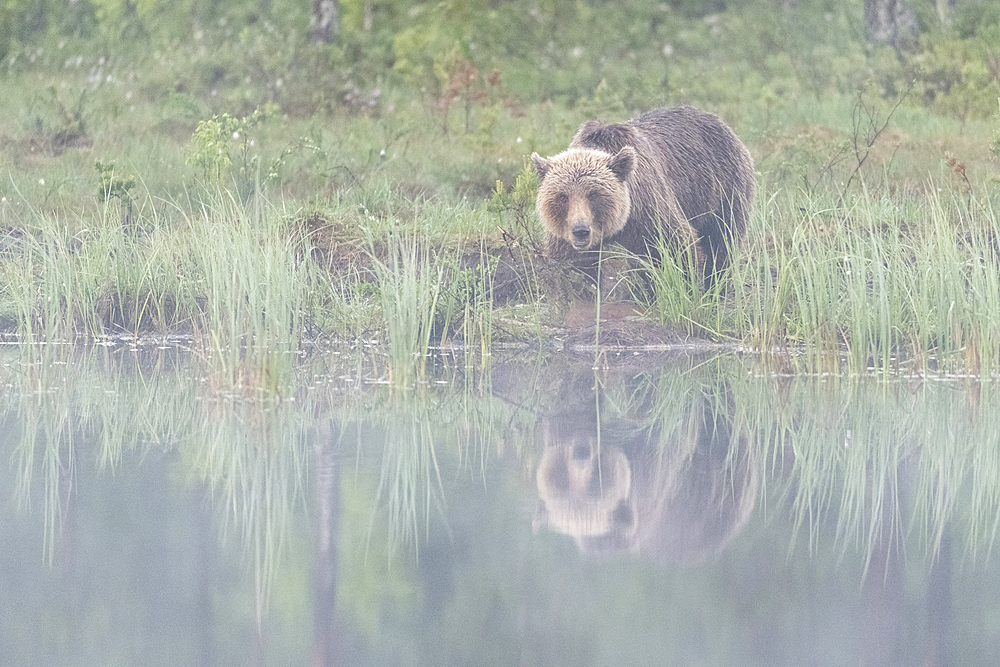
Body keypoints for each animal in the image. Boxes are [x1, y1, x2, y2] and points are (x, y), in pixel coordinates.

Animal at [532, 105, 752, 284]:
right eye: (562, 196)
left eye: (594, 194)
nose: (581, 230)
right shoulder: (564, 235)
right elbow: (574, 270)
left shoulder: (649, 211)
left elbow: (679, 249)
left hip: (723, 189)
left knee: (722, 241)